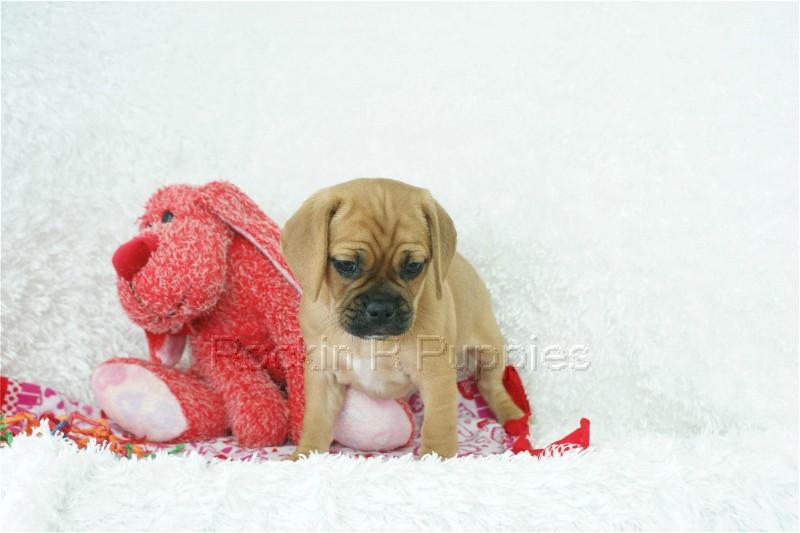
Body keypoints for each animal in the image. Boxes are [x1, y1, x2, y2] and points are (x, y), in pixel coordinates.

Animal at [281, 178, 524, 458]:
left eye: (413, 266)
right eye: (346, 264)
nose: (381, 308)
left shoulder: (436, 376)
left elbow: (438, 426)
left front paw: (437, 459)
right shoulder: (323, 375)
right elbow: (316, 422)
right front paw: (304, 456)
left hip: (491, 349)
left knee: (490, 385)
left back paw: (513, 416)